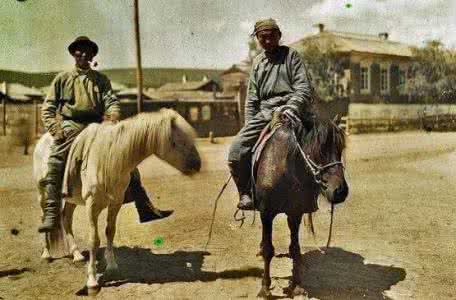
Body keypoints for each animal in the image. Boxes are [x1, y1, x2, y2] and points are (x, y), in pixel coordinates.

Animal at [33, 109, 200, 292]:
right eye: (176, 141)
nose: (197, 164)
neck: (107, 158)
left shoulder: (116, 203)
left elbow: (110, 232)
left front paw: (112, 267)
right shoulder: (92, 205)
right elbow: (94, 239)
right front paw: (92, 280)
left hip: (71, 198)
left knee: (66, 218)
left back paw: (76, 254)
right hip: (43, 194)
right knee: (45, 217)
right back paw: (46, 253)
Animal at [255, 108, 348, 298]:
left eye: (340, 148)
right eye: (319, 149)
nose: (340, 191)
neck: (283, 169)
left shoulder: (295, 213)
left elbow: (295, 249)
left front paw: (296, 285)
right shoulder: (266, 213)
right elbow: (268, 249)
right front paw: (265, 288)